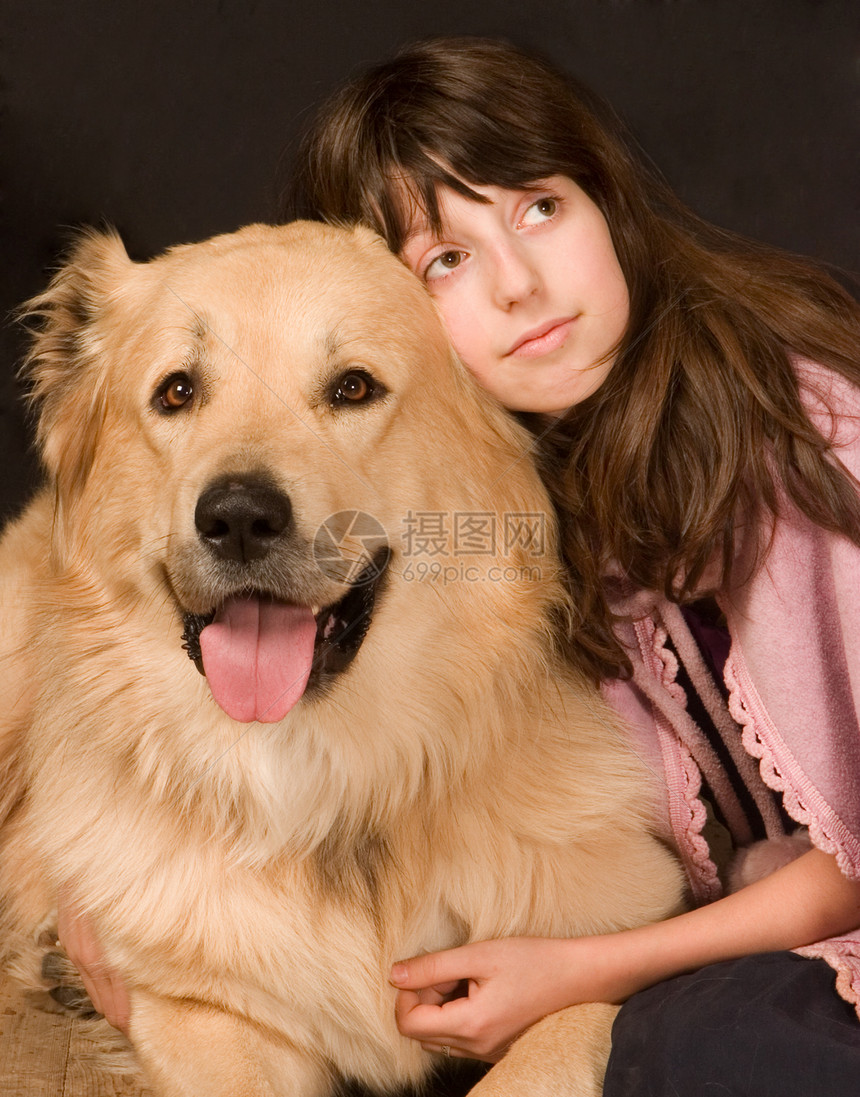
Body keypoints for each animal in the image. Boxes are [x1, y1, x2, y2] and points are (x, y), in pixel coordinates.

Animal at [0, 224, 684, 1097]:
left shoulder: (616, 947)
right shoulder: (202, 1011)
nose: (239, 517)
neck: (334, 782)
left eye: (353, 387)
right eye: (177, 392)